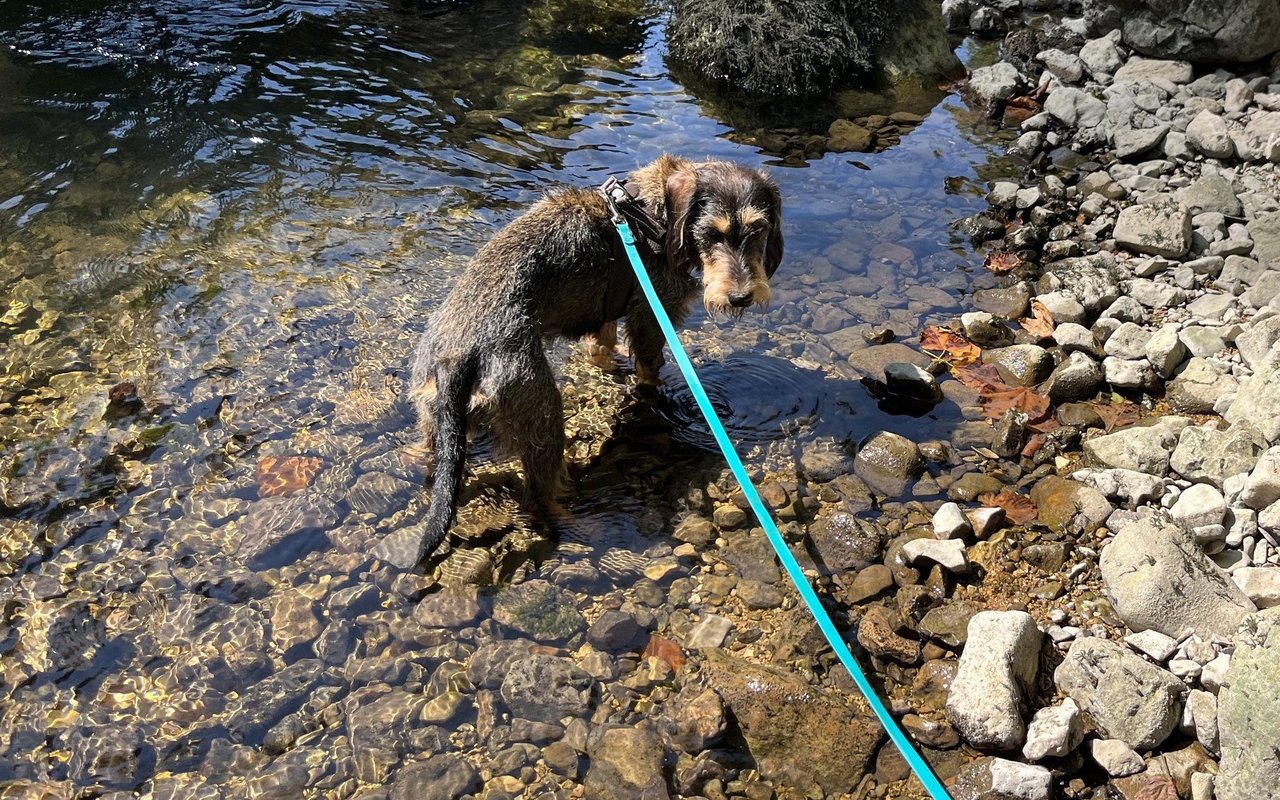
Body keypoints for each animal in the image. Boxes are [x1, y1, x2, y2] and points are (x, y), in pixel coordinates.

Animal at [401, 154, 778, 560]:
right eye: (710, 233)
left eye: (758, 229)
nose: (741, 297)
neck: (650, 216)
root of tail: (456, 357)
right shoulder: (652, 314)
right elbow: (649, 369)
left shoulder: (607, 318)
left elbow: (603, 345)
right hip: (542, 416)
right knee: (538, 494)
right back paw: (580, 523)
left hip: (436, 413)